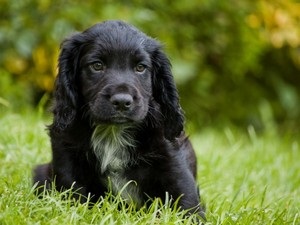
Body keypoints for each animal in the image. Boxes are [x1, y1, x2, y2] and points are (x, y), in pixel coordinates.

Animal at [33, 20, 206, 218]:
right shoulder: (66, 154)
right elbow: (73, 193)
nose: (122, 102)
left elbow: (186, 201)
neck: (113, 131)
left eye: (140, 67)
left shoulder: (173, 161)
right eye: (97, 65)